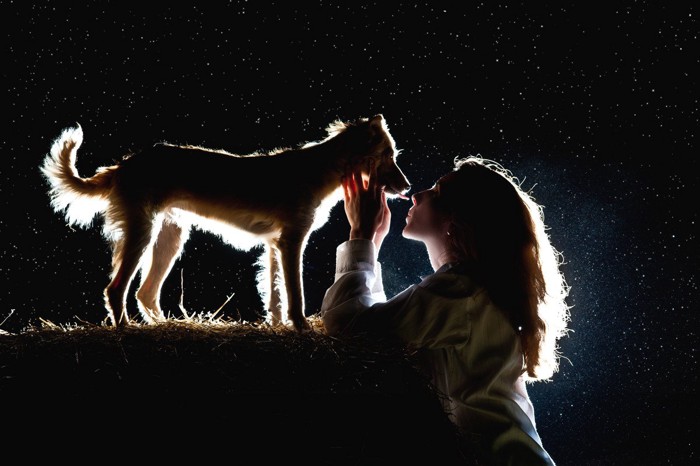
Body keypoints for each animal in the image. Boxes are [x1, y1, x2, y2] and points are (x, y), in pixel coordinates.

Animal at [41, 114, 412, 332]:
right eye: (389, 157)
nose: (408, 188)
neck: (320, 169)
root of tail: (123, 165)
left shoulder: (275, 245)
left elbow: (275, 295)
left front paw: (277, 326)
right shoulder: (292, 241)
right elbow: (295, 293)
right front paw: (301, 328)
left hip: (169, 238)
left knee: (145, 293)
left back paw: (169, 326)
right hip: (142, 234)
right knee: (115, 288)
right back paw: (125, 331)